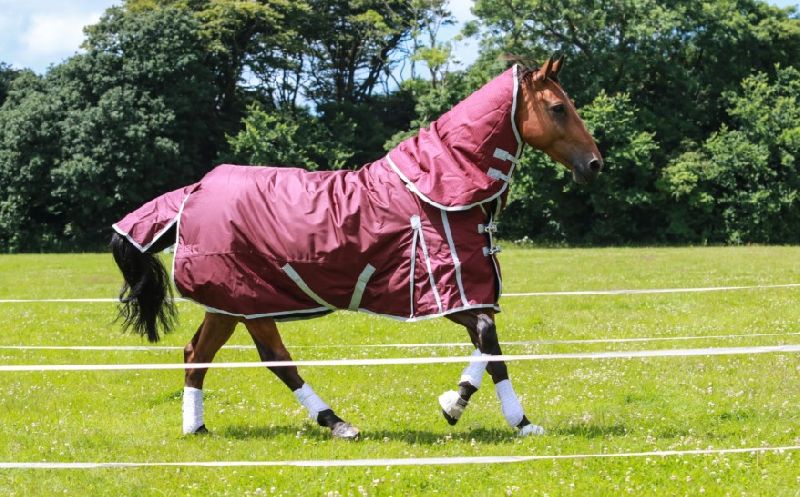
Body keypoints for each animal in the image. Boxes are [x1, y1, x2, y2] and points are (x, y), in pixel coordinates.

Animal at [110, 57, 603, 440]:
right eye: (558, 108)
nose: (594, 164)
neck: (436, 188)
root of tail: (195, 189)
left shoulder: (467, 294)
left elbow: (491, 347)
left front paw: (513, 420)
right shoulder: (445, 293)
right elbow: (490, 342)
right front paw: (462, 406)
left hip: (238, 304)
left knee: (212, 356)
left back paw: (216, 426)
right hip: (243, 301)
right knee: (256, 358)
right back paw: (328, 423)